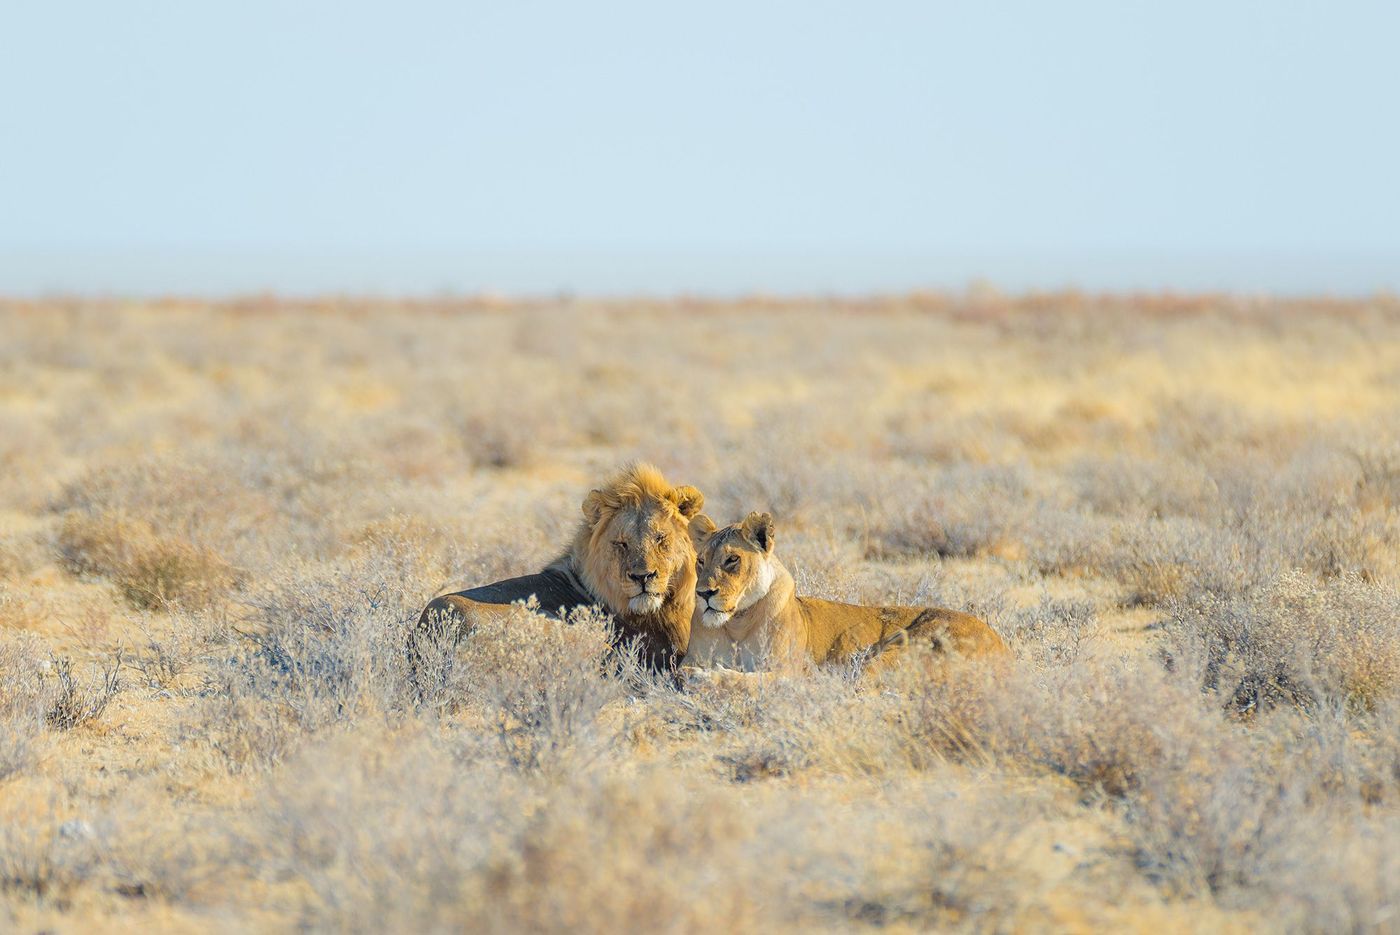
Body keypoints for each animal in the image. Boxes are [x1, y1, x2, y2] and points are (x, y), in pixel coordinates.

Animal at [685, 511, 1007, 675]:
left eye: (732, 559)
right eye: (701, 561)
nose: (703, 594)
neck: (736, 624)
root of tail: (1004, 650)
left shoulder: (790, 672)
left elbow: (747, 681)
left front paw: (710, 678)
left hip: (901, 646)